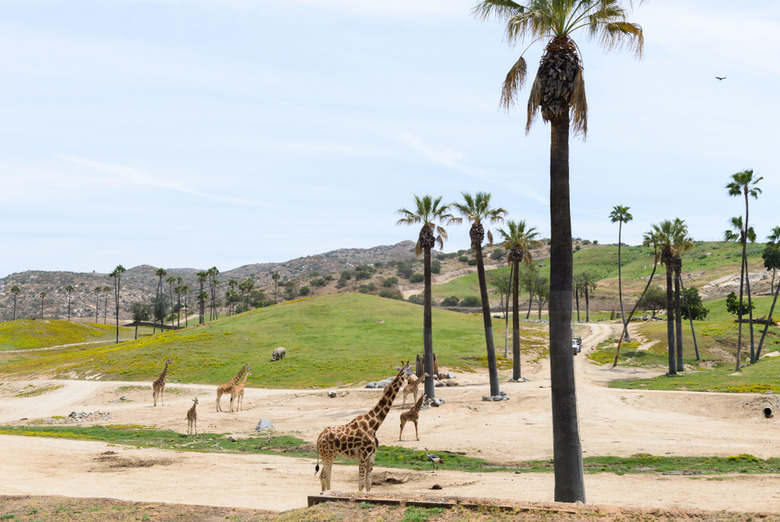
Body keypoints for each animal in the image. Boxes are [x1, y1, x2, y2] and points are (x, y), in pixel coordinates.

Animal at [316, 360, 412, 490]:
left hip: (331, 455)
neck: (374, 425)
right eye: (409, 372)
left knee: (325, 475)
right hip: (327, 454)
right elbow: (361, 483)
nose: (411, 379)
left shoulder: (372, 455)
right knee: (324, 475)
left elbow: (369, 483)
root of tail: (318, 438)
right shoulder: (362, 454)